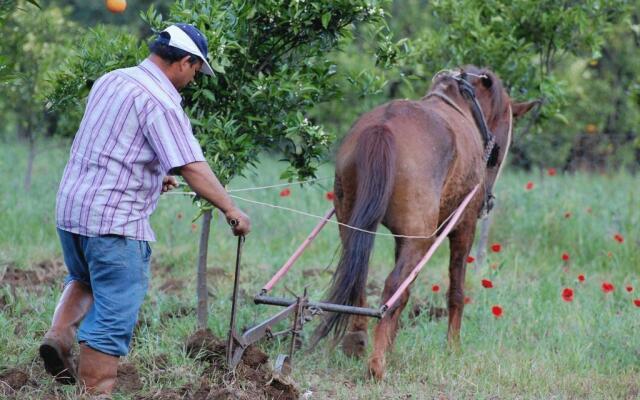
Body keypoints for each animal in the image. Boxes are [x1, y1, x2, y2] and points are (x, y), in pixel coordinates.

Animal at [312, 66, 536, 382]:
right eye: (497, 150)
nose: (487, 201)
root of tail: (384, 127)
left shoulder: (403, 238)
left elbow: (405, 296)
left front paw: (391, 346)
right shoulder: (463, 227)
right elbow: (455, 291)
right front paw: (453, 347)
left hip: (352, 224)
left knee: (361, 278)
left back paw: (358, 343)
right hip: (422, 237)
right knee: (393, 285)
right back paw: (376, 365)